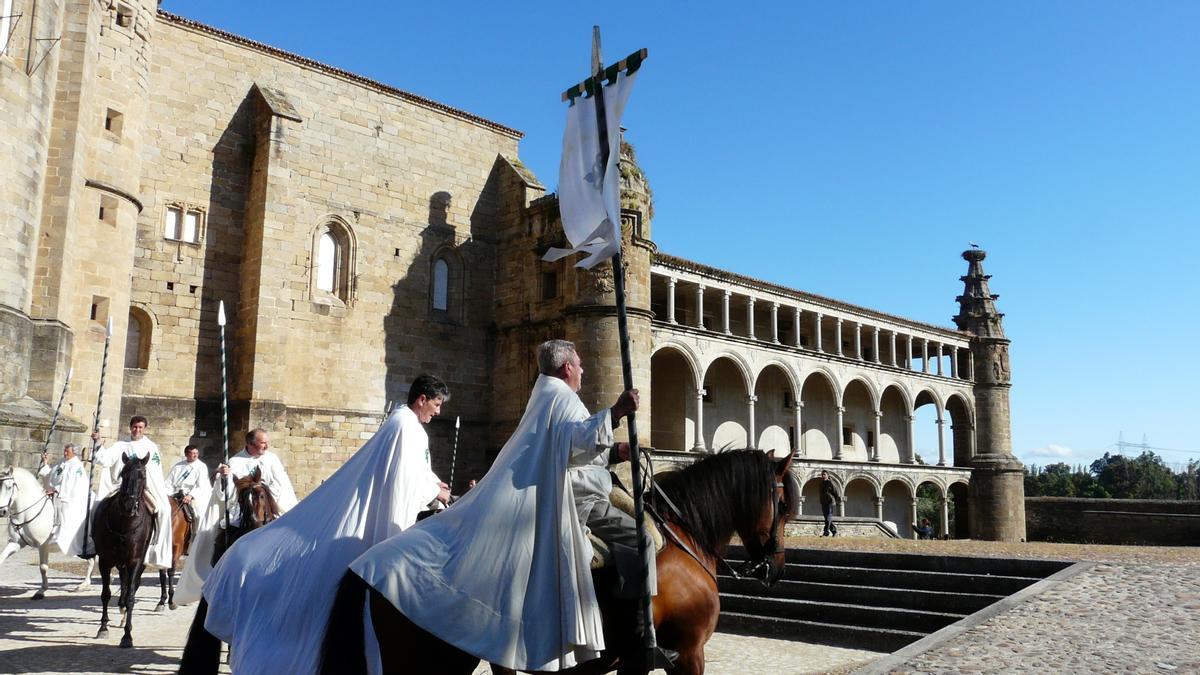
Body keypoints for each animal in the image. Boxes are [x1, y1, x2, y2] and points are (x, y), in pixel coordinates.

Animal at [0, 466, 94, 595]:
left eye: (9, 487)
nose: (2, 511)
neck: (27, 513)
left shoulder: (43, 545)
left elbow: (43, 567)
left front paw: (41, 590)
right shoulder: (16, 543)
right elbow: (1, 558)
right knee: (93, 560)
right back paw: (85, 585)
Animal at [91, 451, 157, 648]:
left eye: (142, 476)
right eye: (123, 474)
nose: (128, 505)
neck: (124, 525)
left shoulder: (135, 562)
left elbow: (131, 596)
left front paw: (127, 635)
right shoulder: (105, 561)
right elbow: (106, 594)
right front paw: (103, 627)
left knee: (131, 586)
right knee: (123, 582)